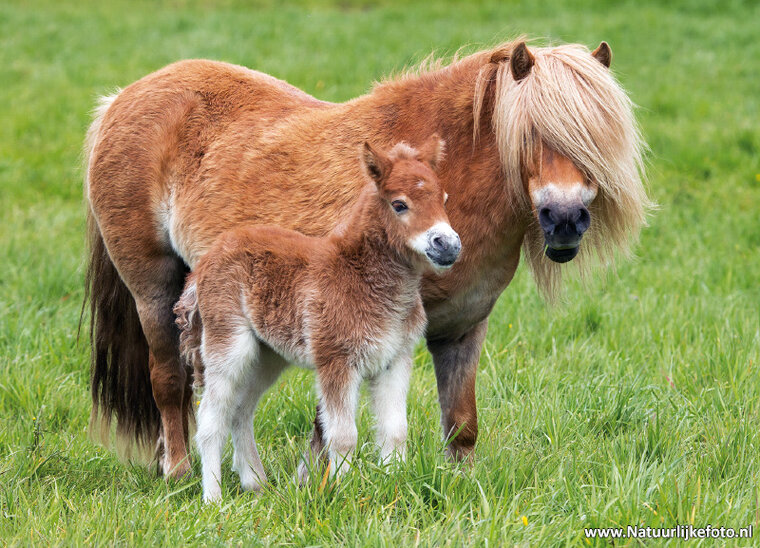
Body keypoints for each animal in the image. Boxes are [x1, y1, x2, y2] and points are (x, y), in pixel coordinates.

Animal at [174, 136, 458, 501]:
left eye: (444, 199)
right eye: (399, 205)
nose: (448, 245)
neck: (361, 277)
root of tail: (204, 262)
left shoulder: (395, 359)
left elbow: (395, 429)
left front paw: (393, 487)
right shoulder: (336, 360)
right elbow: (344, 435)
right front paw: (341, 492)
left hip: (267, 355)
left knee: (240, 410)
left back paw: (257, 484)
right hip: (228, 344)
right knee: (211, 418)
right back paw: (214, 498)